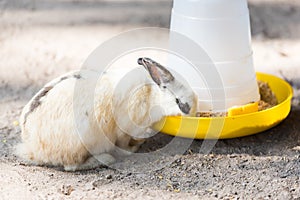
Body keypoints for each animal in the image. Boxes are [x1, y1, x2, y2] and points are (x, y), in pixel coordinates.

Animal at [17, 57, 199, 170]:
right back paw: (106, 159)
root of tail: (32, 147)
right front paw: (134, 147)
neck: (152, 95)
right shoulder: (126, 129)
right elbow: (125, 142)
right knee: (72, 166)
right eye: (180, 103)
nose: (192, 112)